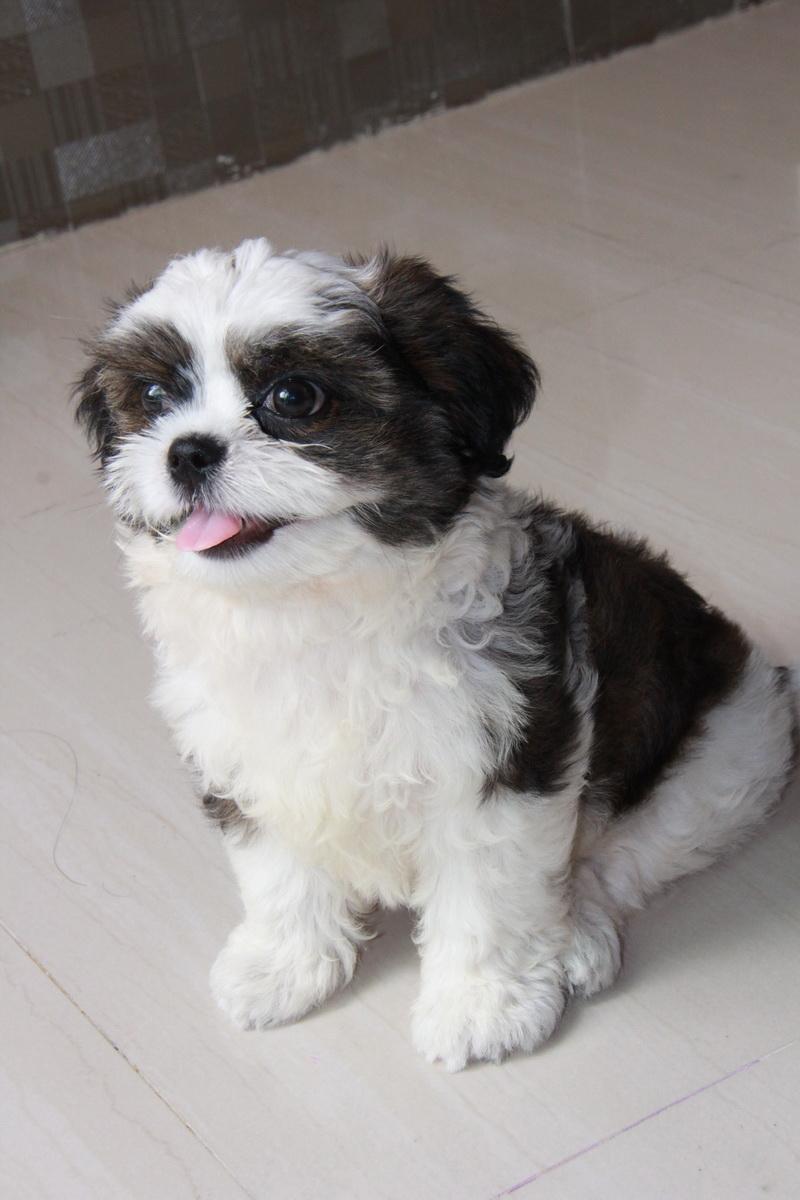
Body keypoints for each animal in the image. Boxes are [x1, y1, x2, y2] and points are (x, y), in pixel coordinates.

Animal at [75, 238, 797, 1070]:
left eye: (295, 397)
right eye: (154, 396)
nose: (188, 451)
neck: (314, 606)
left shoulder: (503, 755)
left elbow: (488, 890)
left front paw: (483, 1005)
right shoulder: (244, 756)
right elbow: (278, 871)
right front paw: (284, 964)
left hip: (729, 753)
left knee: (631, 852)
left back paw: (576, 933)